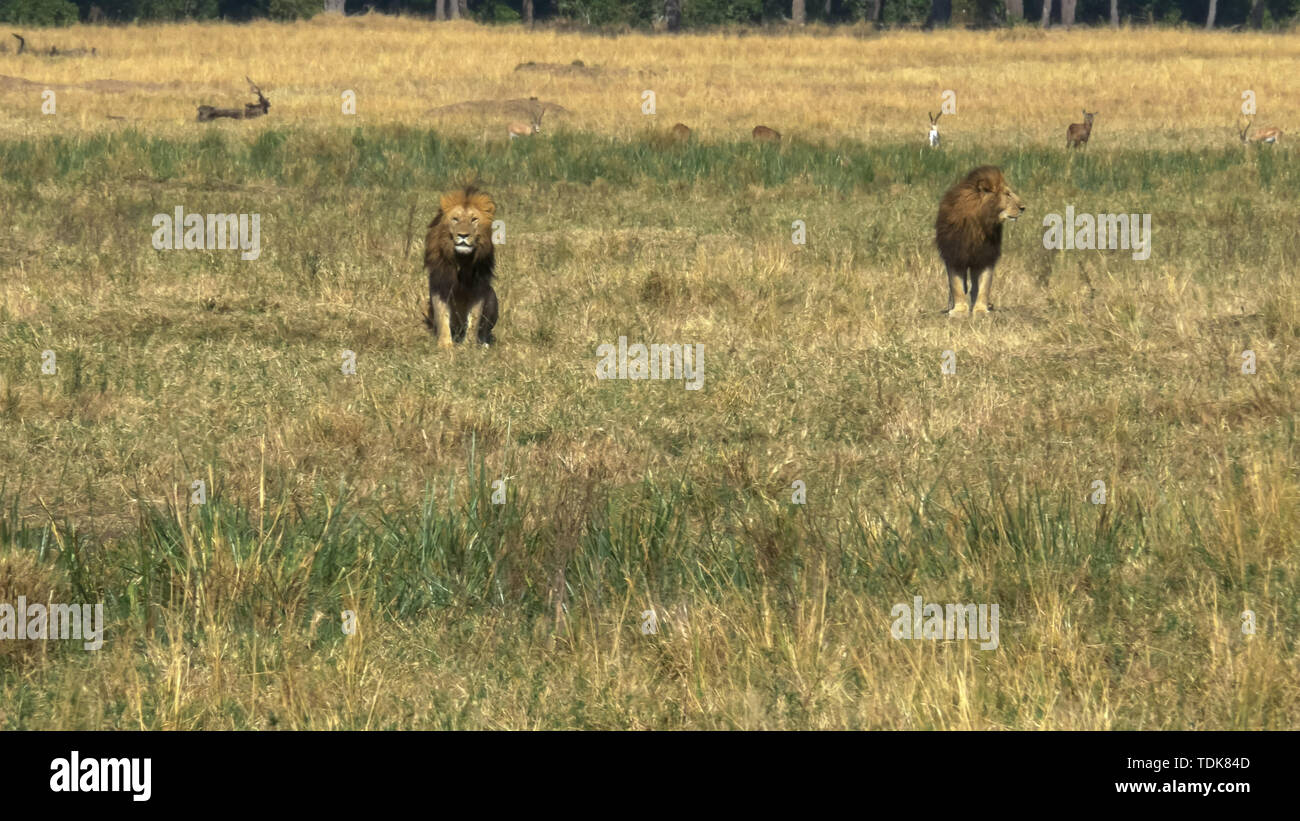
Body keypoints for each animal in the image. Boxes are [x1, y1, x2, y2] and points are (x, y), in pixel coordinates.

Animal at [424, 186, 498, 347]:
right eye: (455, 219)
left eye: (474, 219)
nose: (463, 235)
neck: (462, 260)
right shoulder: (439, 287)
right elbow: (442, 318)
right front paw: (445, 346)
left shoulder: (479, 290)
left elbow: (474, 320)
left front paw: (468, 347)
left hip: (492, 296)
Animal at [934, 165, 1025, 316]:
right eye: (1007, 194)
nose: (1023, 208)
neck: (977, 224)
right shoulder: (954, 254)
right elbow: (956, 285)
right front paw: (959, 310)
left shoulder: (985, 256)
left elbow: (984, 286)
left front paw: (981, 309)